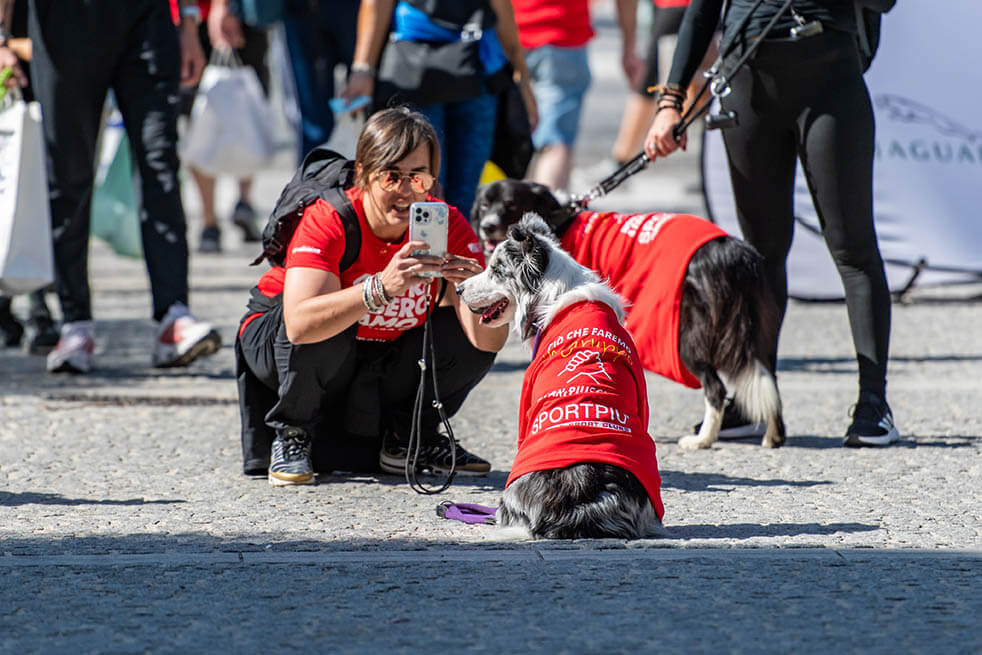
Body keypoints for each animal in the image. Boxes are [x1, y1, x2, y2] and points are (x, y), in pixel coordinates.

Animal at [472, 177, 788, 448]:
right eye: (485, 205)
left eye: (510, 205)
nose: (486, 226)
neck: (561, 223)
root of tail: (736, 254)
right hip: (757, 325)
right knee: (768, 377)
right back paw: (772, 436)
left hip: (688, 338)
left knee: (717, 389)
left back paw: (703, 439)